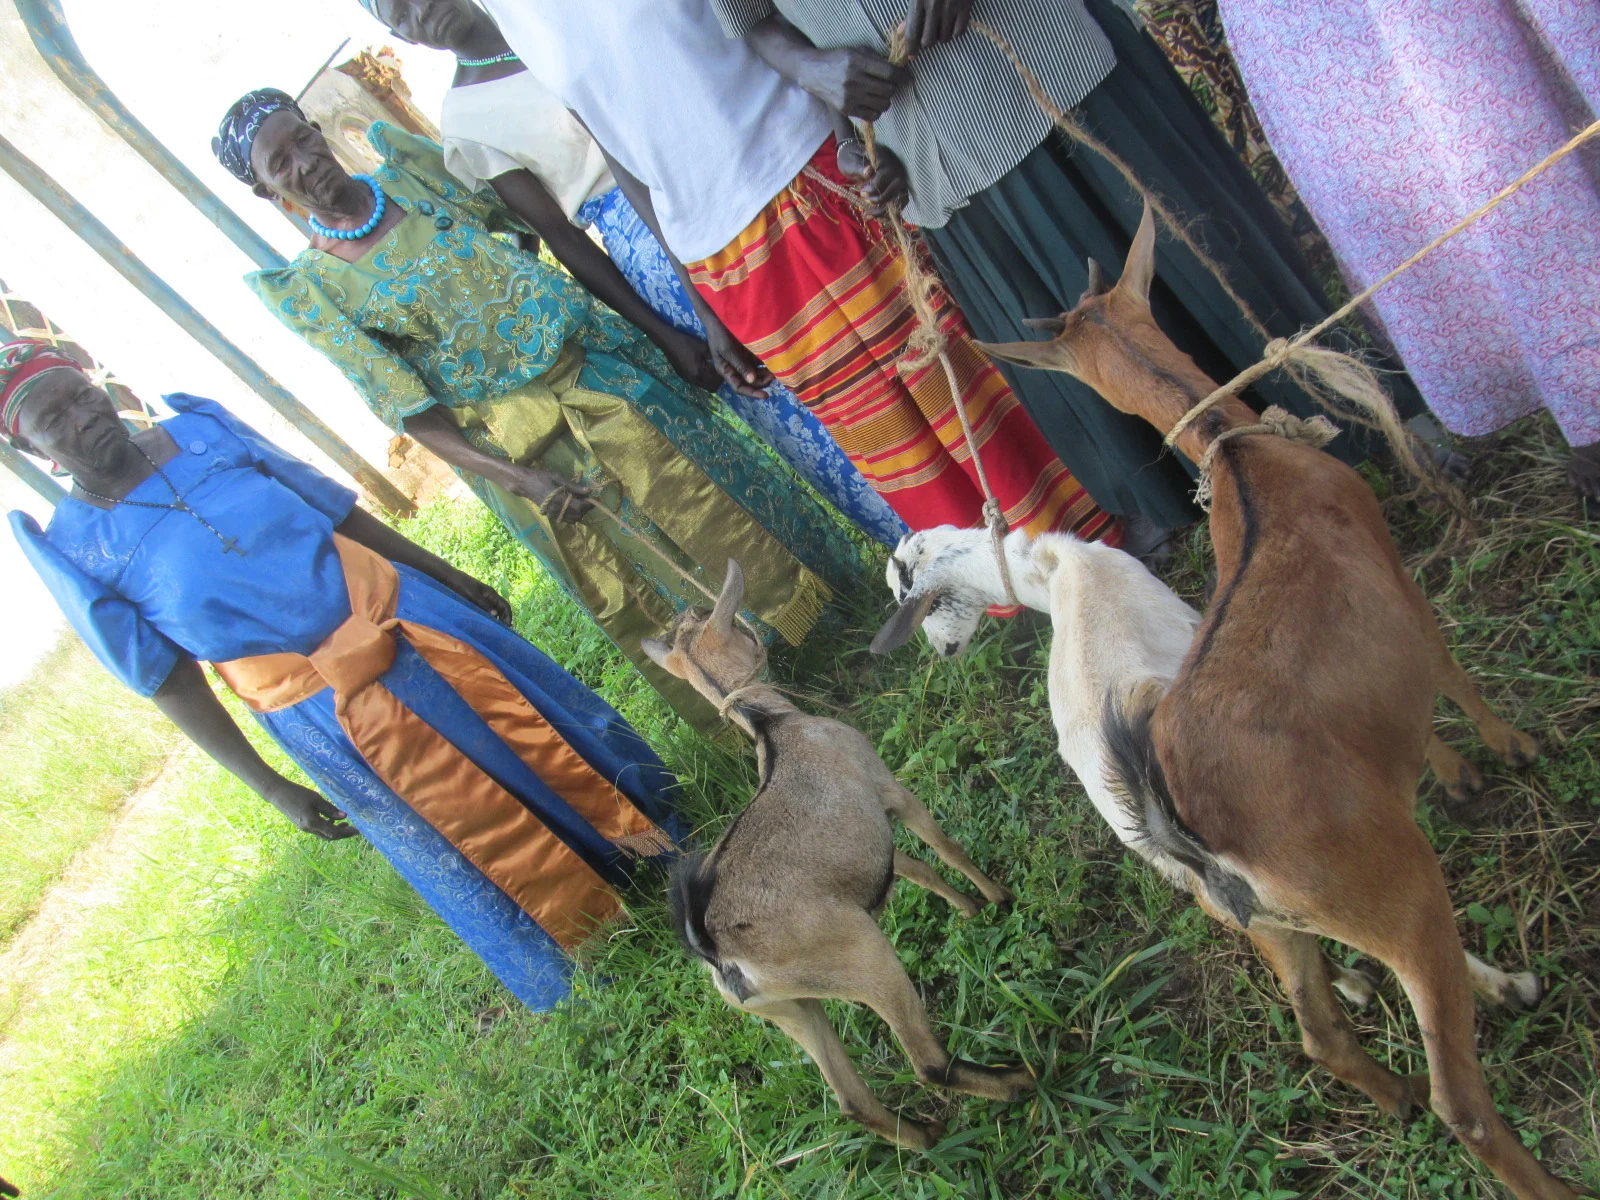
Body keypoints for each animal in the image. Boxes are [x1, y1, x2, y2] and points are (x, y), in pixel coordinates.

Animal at [641, 561, 1033, 1149]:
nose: (758, 634)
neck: (774, 725)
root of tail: (714, 949)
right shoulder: (888, 789)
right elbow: (943, 844)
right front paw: (998, 896)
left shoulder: (869, 840)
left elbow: (914, 869)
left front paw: (969, 909)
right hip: (861, 954)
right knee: (925, 1062)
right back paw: (1016, 1081)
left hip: (791, 1009)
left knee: (850, 1100)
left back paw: (924, 1135)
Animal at [872, 524, 1543, 1010]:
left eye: (914, 602)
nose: (941, 653)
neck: (1054, 574)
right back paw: (1510, 987)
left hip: (1204, 884)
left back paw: (1352, 985)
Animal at [954, 203, 1575, 1200]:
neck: (1246, 458)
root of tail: (1190, 832)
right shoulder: (1393, 572)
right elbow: (1446, 665)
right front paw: (1505, 751)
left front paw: (1451, 771)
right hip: (1391, 890)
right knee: (1461, 1098)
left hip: (1276, 930)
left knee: (1319, 1036)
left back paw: (1398, 1092)